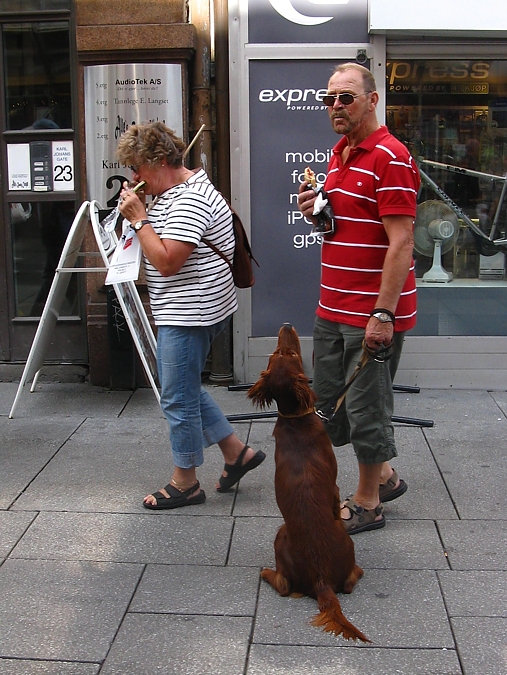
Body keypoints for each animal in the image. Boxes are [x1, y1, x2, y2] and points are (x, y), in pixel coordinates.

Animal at [249, 324, 370, 640]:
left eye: (282, 352)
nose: (287, 325)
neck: (296, 420)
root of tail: (321, 579)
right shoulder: (335, 487)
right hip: (282, 535)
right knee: (286, 585)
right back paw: (266, 572)